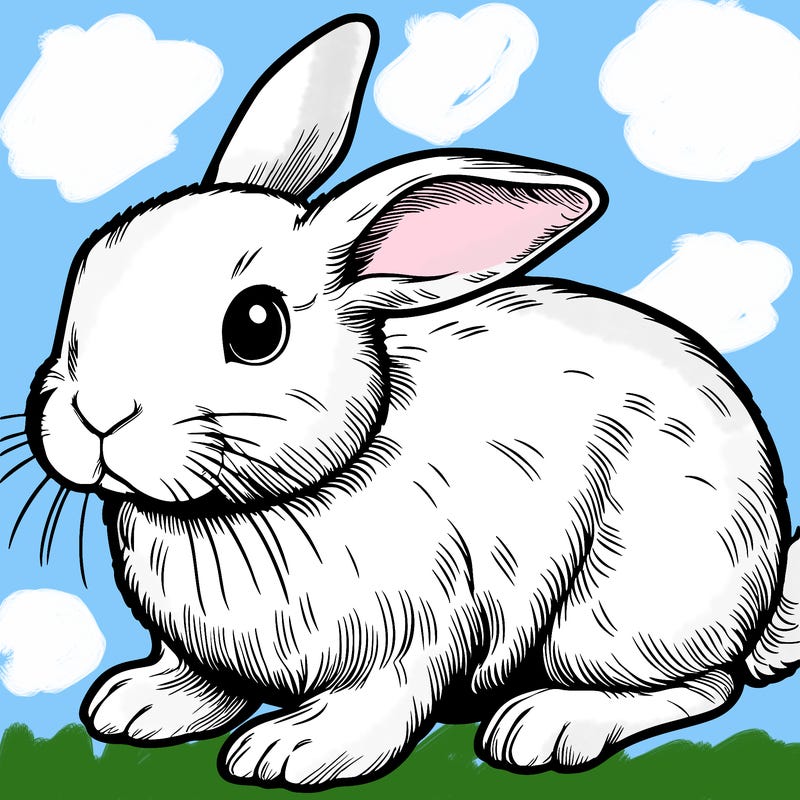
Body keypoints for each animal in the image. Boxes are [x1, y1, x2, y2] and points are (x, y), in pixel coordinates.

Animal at [21, 12, 800, 791]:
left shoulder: (420, 631)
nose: (97, 414)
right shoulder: (205, 650)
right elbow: (203, 681)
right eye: (85, 269)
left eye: (256, 326)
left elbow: (380, 703)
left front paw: (292, 751)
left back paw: (546, 725)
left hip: (623, 612)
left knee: (704, 686)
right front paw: (139, 705)